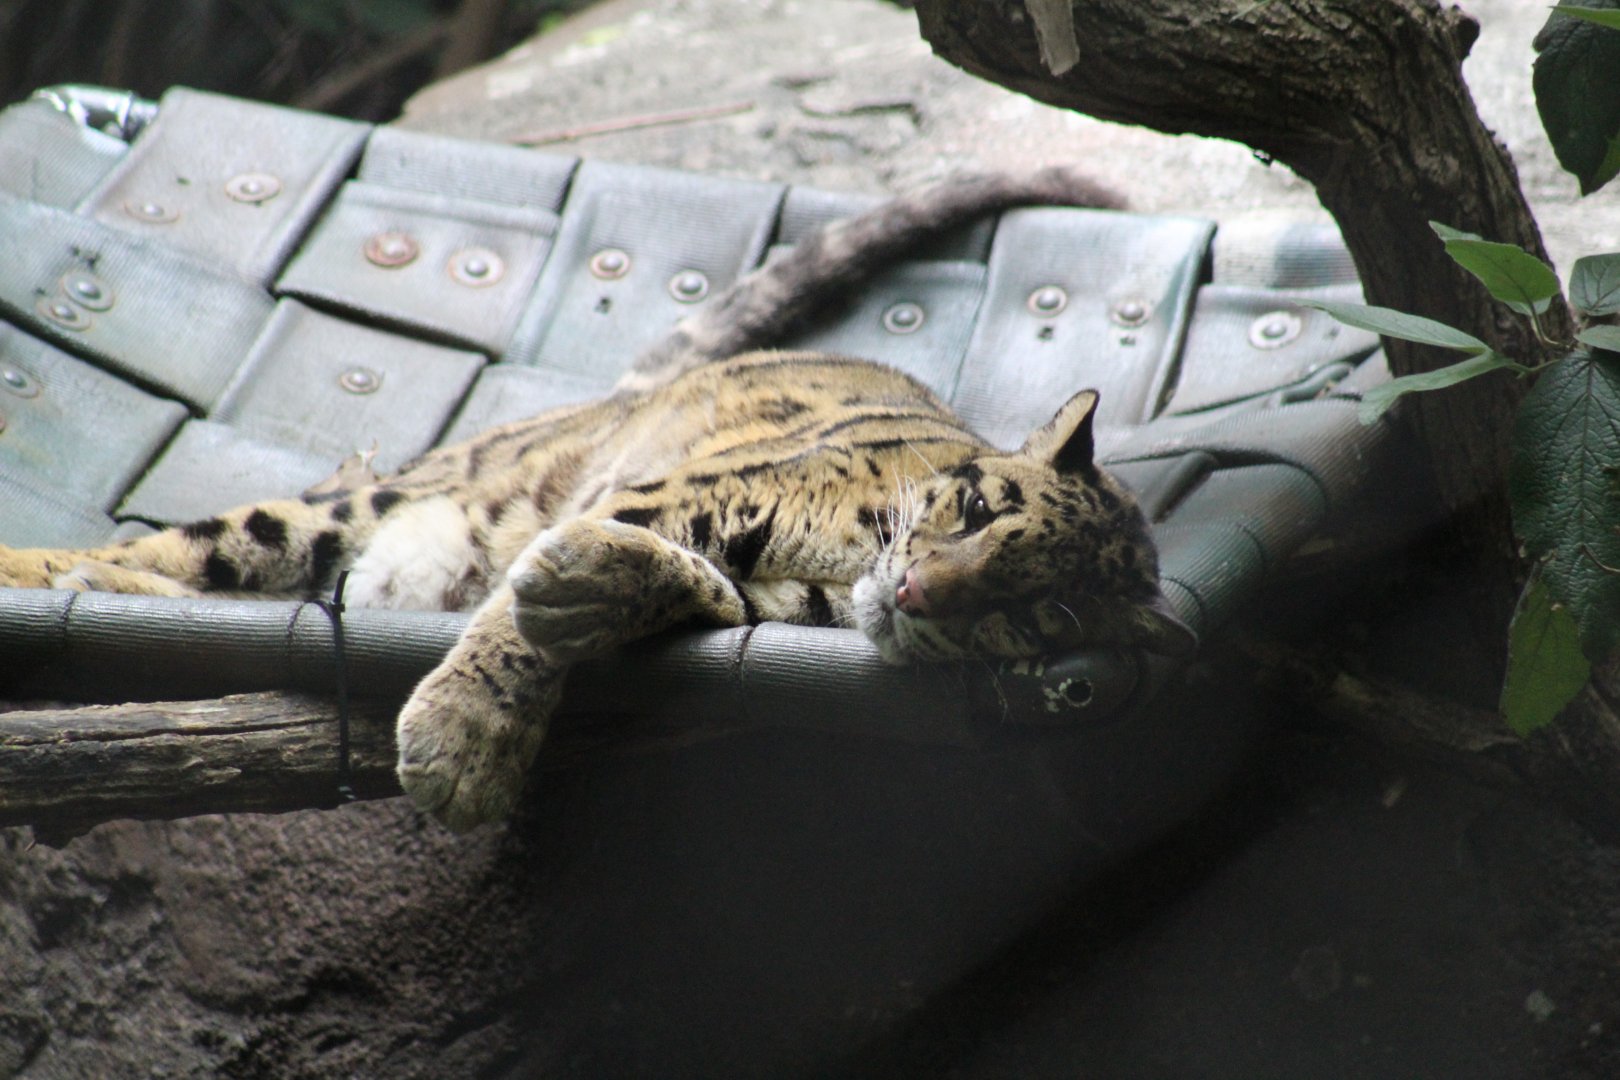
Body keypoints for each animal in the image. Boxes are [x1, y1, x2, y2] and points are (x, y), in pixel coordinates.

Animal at [0, 167, 1196, 831]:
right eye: (982, 511)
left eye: (1035, 618)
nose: (916, 594)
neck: (848, 566)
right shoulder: (680, 492)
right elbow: (526, 619)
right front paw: (467, 739)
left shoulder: (759, 596)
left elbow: (674, 592)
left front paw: (591, 591)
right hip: (358, 506)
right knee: (183, 549)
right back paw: (54, 576)